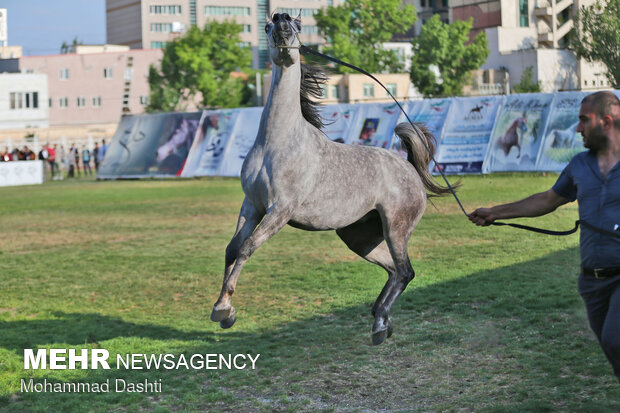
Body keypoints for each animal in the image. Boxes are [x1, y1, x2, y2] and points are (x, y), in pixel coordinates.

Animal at [212, 12, 450, 342]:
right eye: (269, 24)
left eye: (297, 25)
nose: (282, 21)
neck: (277, 142)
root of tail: (410, 169)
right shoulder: (252, 205)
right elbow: (232, 249)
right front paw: (222, 309)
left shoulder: (280, 210)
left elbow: (247, 247)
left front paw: (225, 311)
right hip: (358, 237)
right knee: (393, 270)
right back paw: (380, 317)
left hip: (396, 229)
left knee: (405, 271)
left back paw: (380, 323)